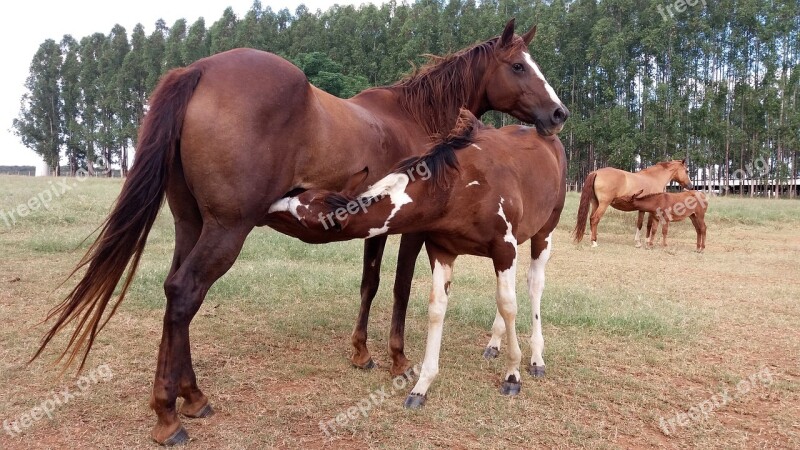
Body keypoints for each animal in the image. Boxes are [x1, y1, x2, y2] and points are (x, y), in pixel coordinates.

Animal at [270, 109, 568, 408]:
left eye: (298, 216)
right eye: (302, 195)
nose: (270, 204)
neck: (461, 186)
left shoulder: (504, 248)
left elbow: (508, 306)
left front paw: (512, 375)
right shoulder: (442, 251)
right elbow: (437, 308)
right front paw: (421, 386)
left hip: (543, 234)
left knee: (534, 285)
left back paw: (536, 358)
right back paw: (494, 343)